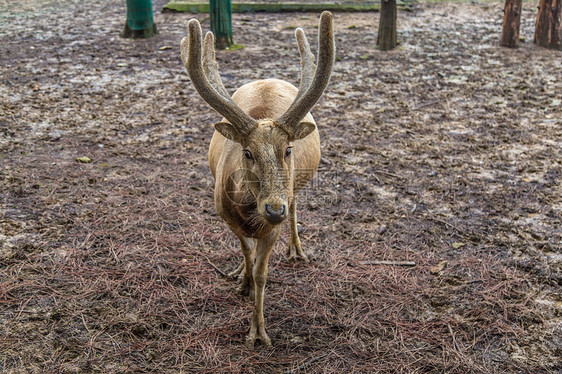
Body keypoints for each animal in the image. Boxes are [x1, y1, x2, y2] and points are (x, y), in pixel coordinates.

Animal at [180, 11, 332, 350]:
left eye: (287, 149)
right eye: (247, 152)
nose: (274, 210)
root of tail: (268, 78)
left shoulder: (272, 228)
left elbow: (263, 273)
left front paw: (258, 332)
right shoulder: (226, 217)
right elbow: (245, 251)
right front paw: (243, 281)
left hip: (296, 190)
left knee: (296, 205)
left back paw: (297, 250)